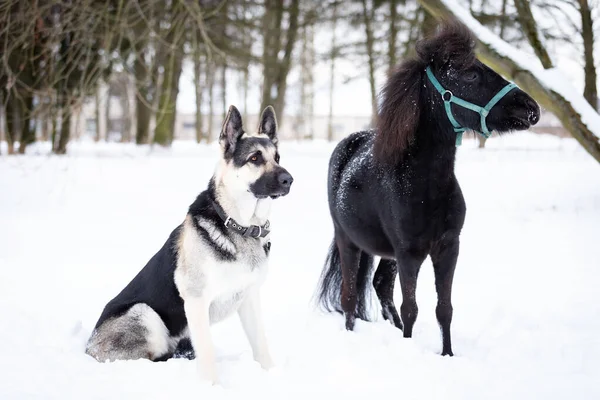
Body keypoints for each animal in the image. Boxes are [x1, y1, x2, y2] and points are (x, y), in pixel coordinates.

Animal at [85, 104, 294, 382]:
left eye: (277, 157)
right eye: (255, 159)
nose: (289, 180)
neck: (237, 224)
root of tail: (88, 347)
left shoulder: (249, 299)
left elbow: (260, 343)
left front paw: (271, 374)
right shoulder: (196, 301)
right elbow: (206, 350)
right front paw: (212, 385)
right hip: (146, 314)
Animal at [316, 21, 540, 356]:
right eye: (470, 74)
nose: (531, 108)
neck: (426, 187)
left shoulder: (448, 248)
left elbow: (444, 309)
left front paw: (446, 355)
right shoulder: (409, 253)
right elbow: (411, 308)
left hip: (386, 253)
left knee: (380, 285)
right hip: (348, 241)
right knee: (349, 296)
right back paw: (352, 335)